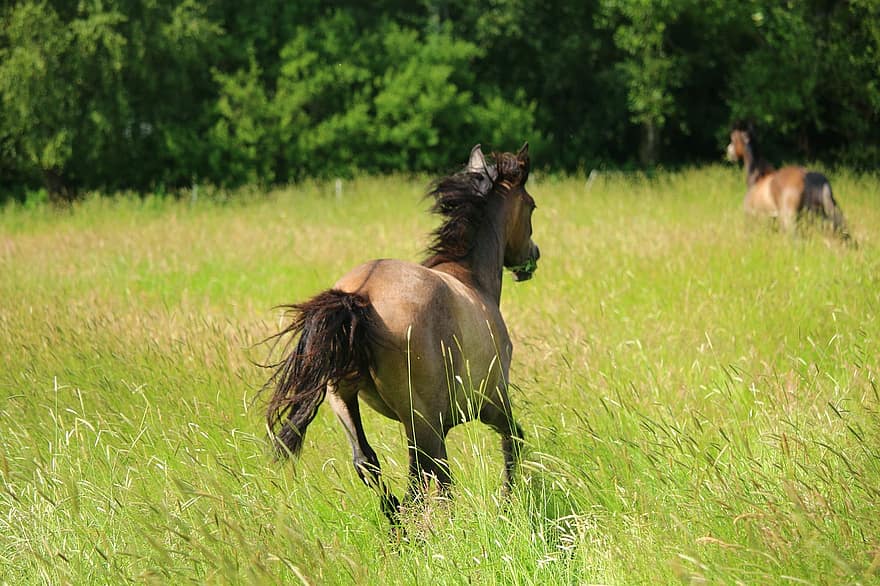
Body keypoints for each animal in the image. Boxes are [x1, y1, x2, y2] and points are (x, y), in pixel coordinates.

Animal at [258, 143, 540, 524]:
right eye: (531, 206)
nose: (532, 257)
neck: (472, 281)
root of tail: (360, 295)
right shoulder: (492, 402)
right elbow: (513, 441)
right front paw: (508, 503)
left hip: (343, 401)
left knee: (370, 464)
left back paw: (395, 524)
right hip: (421, 421)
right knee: (423, 481)